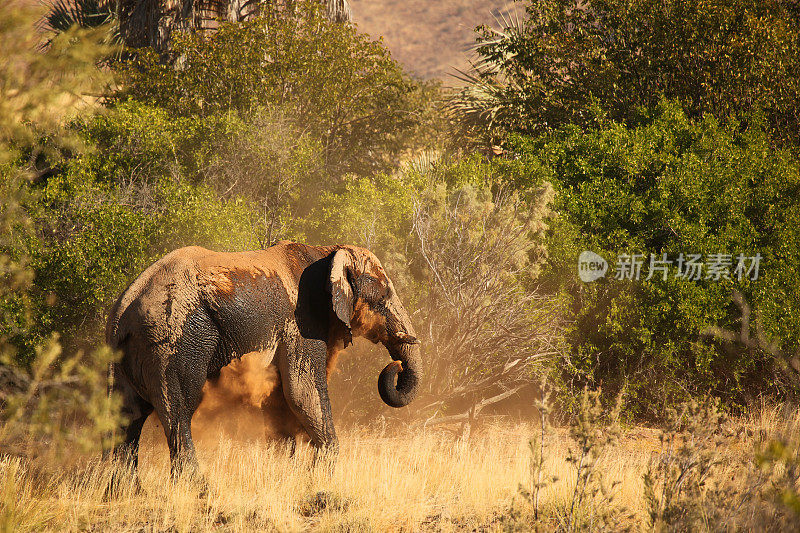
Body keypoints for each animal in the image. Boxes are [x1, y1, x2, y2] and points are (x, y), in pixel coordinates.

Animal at [106, 241, 422, 478]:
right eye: (384, 296)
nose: (395, 366)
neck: (327, 251)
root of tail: (124, 306)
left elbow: (281, 399)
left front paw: (286, 475)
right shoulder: (301, 322)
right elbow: (302, 392)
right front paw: (319, 478)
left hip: (127, 353)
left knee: (127, 417)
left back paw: (125, 493)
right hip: (172, 340)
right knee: (179, 410)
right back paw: (198, 490)